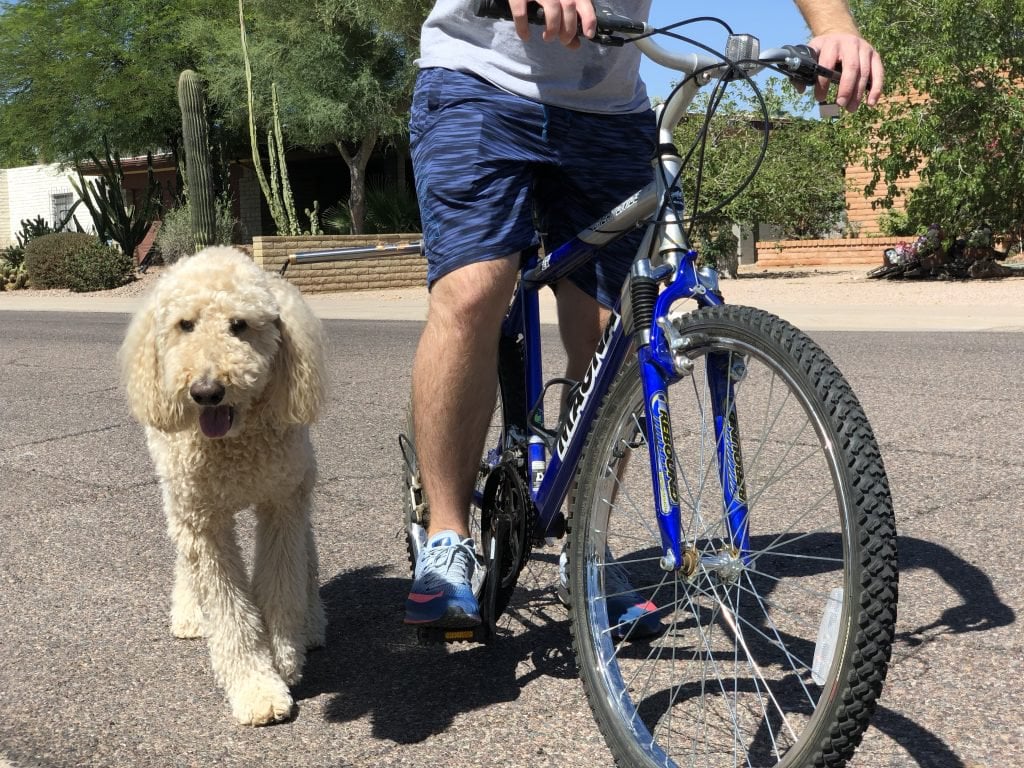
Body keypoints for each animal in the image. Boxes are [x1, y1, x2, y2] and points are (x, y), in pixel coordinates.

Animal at [119, 247, 327, 729]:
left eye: (240, 325)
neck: (234, 442)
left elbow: (282, 580)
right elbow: (228, 610)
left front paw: (285, 654)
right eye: (185, 325)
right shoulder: (203, 521)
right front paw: (256, 688)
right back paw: (190, 613)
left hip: (297, 478)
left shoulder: (281, 503)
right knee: (185, 556)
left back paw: (312, 623)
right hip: (179, 495)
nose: (206, 391)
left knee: (305, 548)